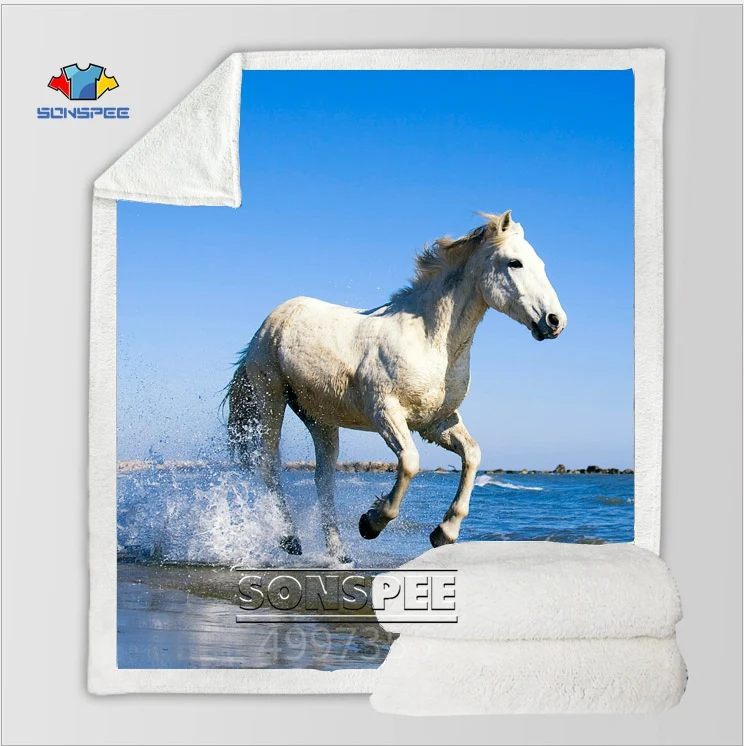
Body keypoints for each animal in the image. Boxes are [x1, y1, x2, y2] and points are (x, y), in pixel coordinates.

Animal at [226, 211, 566, 562]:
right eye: (515, 263)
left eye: (540, 264)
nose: (555, 321)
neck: (430, 340)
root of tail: (272, 321)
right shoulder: (385, 412)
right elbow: (410, 463)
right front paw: (370, 523)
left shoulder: (436, 422)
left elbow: (472, 455)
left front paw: (444, 533)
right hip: (271, 397)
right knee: (269, 463)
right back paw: (290, 539)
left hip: (320, 419)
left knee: (323, 479)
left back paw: (339, 552)